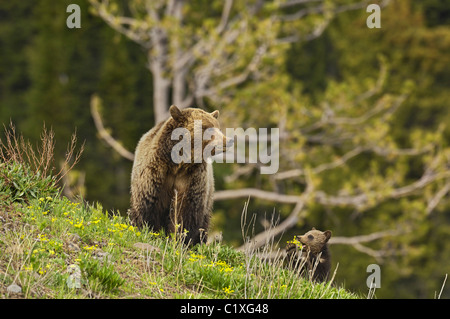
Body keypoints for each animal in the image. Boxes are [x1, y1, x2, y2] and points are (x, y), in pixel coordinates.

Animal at [127, 105, 230, 245]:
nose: (228, 141)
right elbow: (147, 205)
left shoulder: (191, 179)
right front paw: (148, 231)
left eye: (218, 127)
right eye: (206, 127)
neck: (178, 165)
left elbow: (185, 212)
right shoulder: (154, 174)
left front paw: (180, 239)